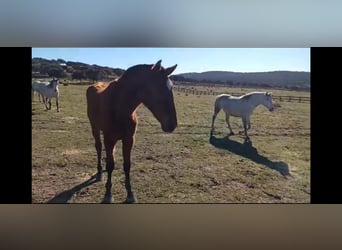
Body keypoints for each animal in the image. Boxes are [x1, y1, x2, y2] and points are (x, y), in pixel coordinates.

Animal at [85, 60, 178, 203]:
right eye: (158, 88)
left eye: (171, 87)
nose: (172, 125)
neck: (119, 107)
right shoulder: (109, 139)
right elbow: (111, 165)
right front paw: (108, 193)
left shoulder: (129, 139)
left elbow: (127, 165)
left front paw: (130, 193)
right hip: (95, 128)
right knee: (99, 148)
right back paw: (100, 171)